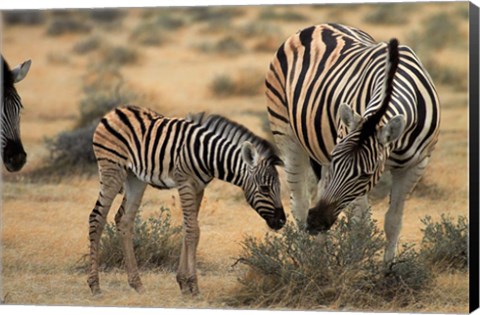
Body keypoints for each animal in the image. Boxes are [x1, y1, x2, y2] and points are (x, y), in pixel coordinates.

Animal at [87, 106, 284, 296]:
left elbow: (189, 228)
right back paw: (95, 286)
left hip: (135, 178)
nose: (282, 221)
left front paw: (183, 283)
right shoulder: (185, 184)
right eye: (264, 188)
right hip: (112, 170)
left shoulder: (199, 188)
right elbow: (193, 231)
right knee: (97, 218)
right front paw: (193, 285)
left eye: (280, 188)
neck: (208, 155)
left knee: (125, 221)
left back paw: (137, 285)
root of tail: (116, 111)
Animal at [266, 23, 438, 262]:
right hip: (285, 133)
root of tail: (318, 25)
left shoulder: (415, 165)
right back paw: (304, 257)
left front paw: (388, 268)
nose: (316, 222)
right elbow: (361, 224)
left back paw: (320, 254)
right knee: (299, 203)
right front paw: (356, 263)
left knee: (318, 192)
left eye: (366, 174)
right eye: (337, 163)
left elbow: (393, 221)